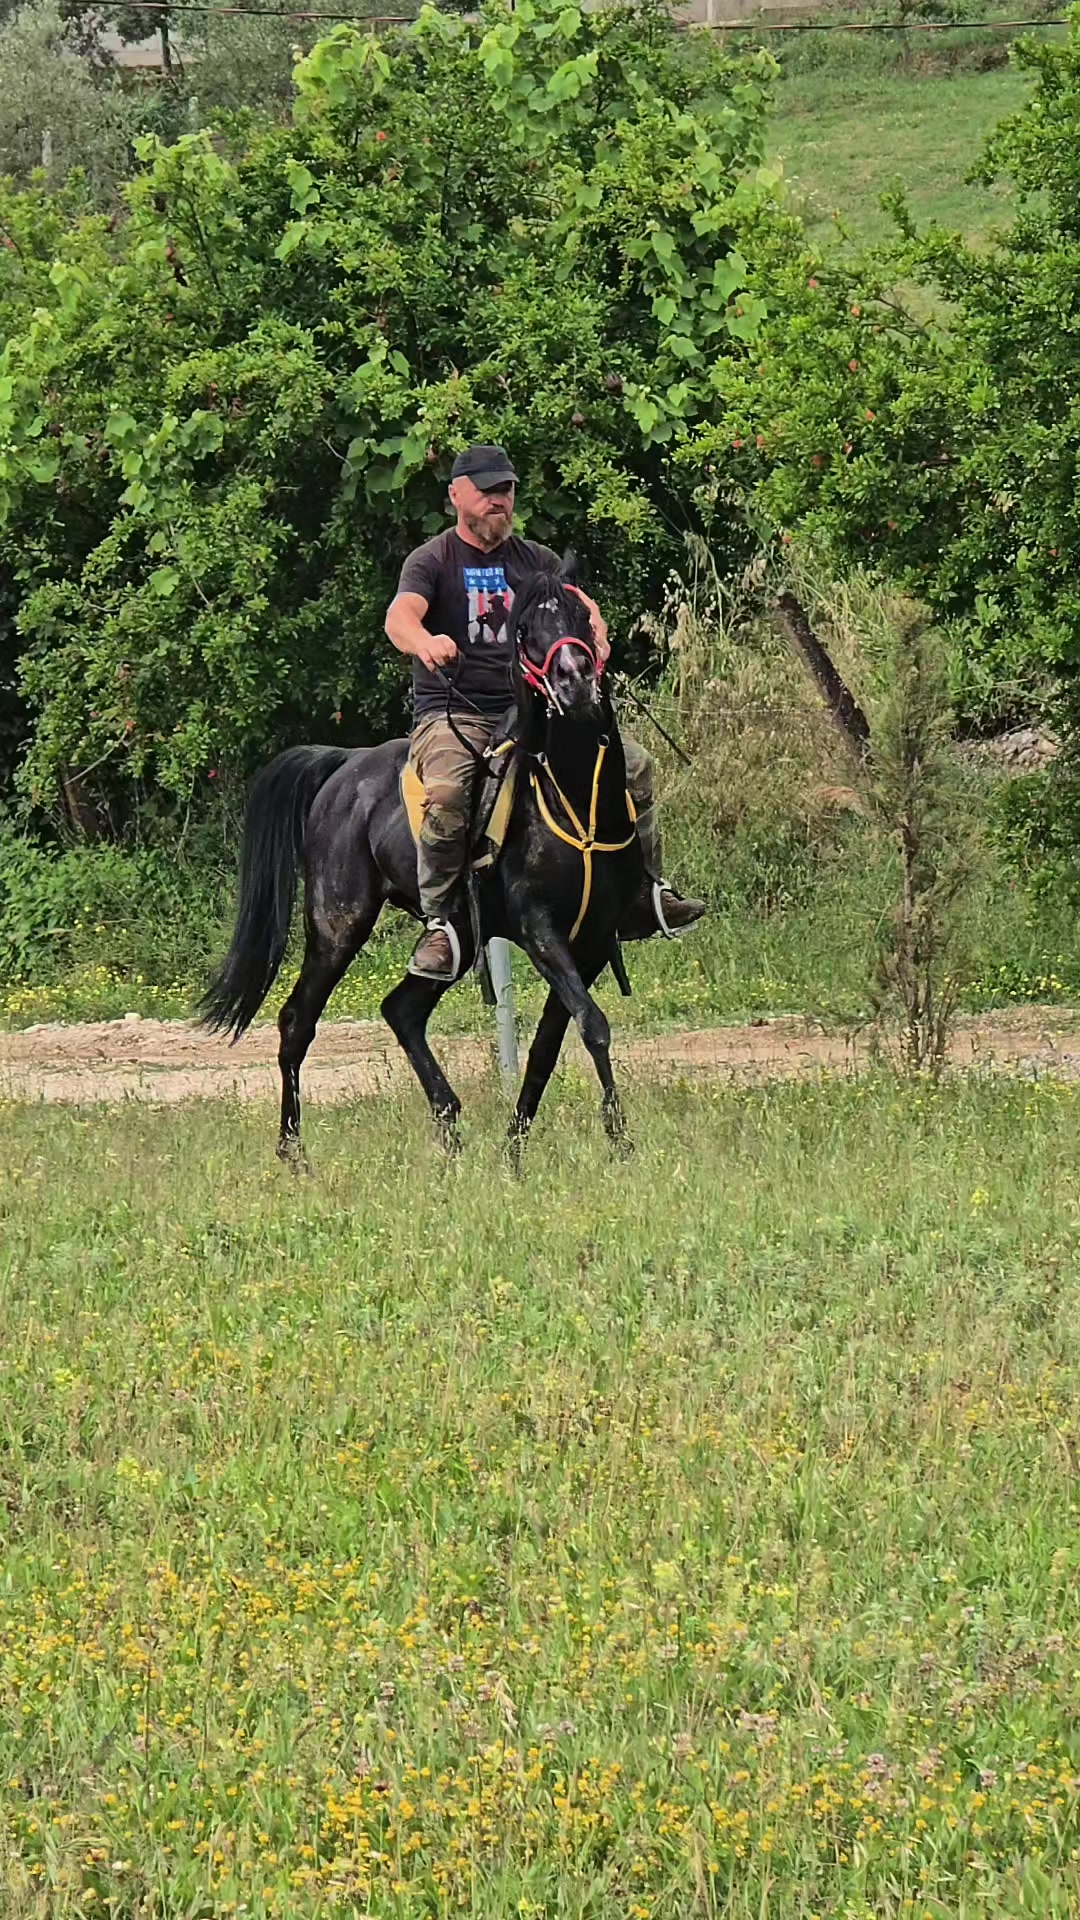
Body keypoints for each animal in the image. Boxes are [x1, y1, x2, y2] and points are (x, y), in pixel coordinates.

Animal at [201, 563, 646, 1158]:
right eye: (525, 628)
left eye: (580, 614)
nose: (575, 682)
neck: (573, 797)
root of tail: (344, 765)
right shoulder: (541, 929)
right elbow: (592, 1024)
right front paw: (621, 1142)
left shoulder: (592, 940)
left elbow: (551, 1041)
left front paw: (515, 1146)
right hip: (337, 926)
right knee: (298, 1021)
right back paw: (294, 1153)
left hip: (458, 934)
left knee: (402, 1011)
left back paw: (450, 1124)